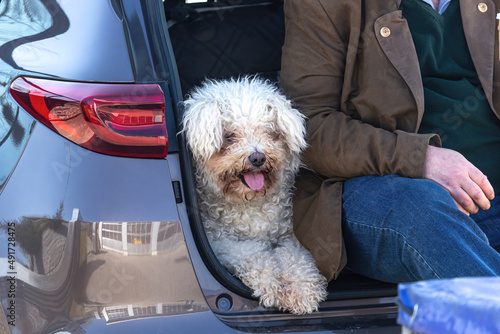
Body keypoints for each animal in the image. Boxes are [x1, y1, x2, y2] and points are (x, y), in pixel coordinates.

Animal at [180, 77, 328, 314]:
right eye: (230, 136)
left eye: (269, 133)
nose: (258, 157)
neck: (250, 202)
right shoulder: (221, 243)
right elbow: (257, 255)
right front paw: (275, 283)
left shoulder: (289, 236)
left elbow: (296, 258)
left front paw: (301, 289)